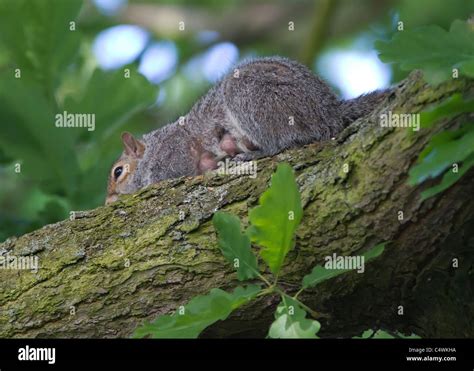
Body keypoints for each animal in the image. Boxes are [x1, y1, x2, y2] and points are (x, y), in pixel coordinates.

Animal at [105, 56, 386, 205]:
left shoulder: (173, 153)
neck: (152, 150)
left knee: (281, 143)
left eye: (118, 172)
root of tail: (329, 111)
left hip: (252, 97)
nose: (108, 200)